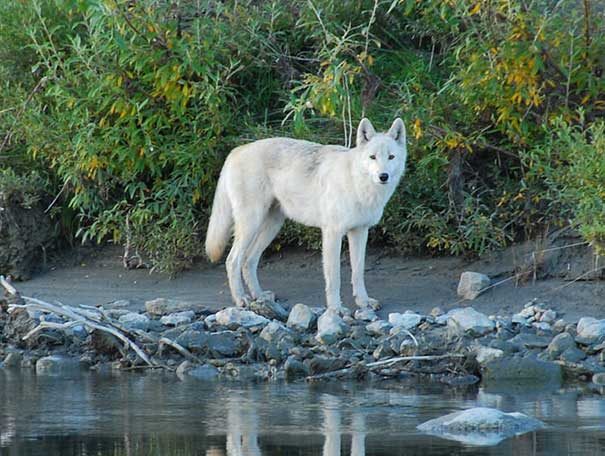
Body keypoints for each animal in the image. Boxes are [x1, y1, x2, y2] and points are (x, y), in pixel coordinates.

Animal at [205, 116, 408, 314]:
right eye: (372, 157)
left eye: (391, 157)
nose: (383, 176)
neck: (357, 183)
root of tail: (236, 151)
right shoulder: (332, 234)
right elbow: (334, 277)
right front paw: (335, 308)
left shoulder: (360, 232)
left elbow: (358, 273)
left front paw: (364, 302)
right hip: (251, 225)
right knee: (232, 260)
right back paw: (241, 299)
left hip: (272, 226)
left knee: (248, 260)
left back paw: (260, 296)